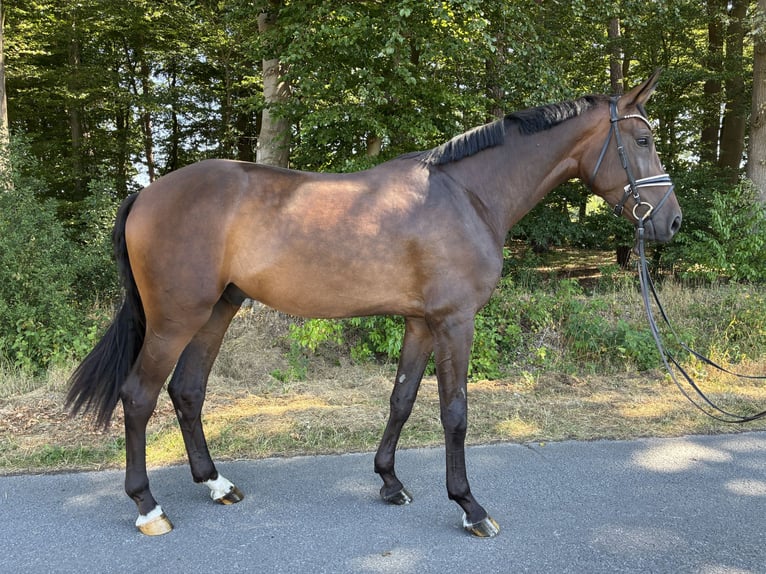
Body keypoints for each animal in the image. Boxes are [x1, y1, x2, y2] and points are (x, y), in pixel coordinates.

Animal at [67, 71, 681, 537]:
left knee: (187, 391)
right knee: (138, 397)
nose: (671, 222)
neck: (468, 196)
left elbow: (402, 400)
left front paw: (390, 482)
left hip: (217, 310)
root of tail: (148, 192)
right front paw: (470, 507)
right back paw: (148, 507)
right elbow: (455, 412)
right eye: (643, 141)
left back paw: (217, 484)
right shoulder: (454, 322)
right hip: (175, 319)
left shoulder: (420, 322)